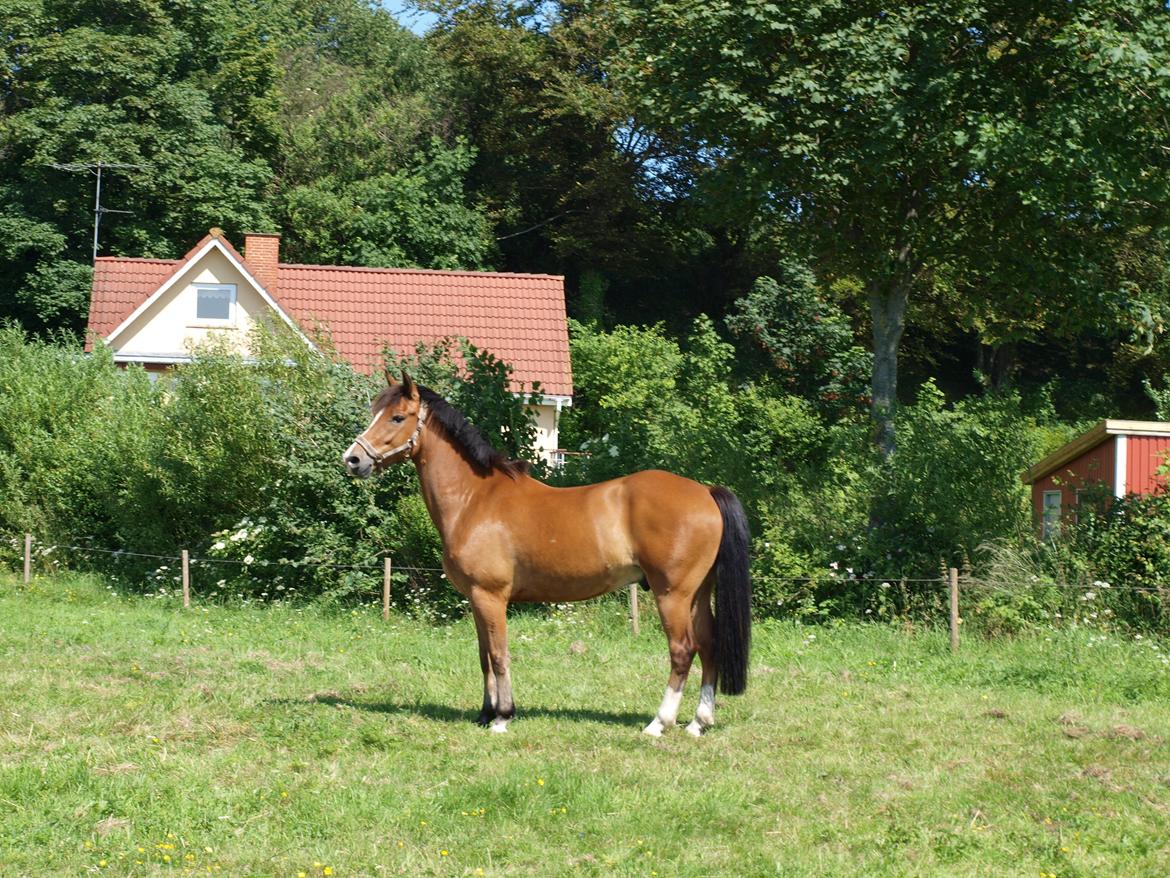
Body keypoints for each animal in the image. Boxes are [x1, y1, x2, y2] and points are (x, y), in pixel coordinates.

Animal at [341, 372, 753, 735]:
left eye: (397, 417)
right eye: (374, 411)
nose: (352, 460)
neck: (475, 499)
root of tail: (705, 491)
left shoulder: (491, 597)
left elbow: (499, 655)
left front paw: (503, 717)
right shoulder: (476, 599)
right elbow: (483, 656)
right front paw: (485, 714)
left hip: (673, 595)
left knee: (683, 651)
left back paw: (659, 723)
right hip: (697, 594)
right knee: (710, 647)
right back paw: (698, 723)